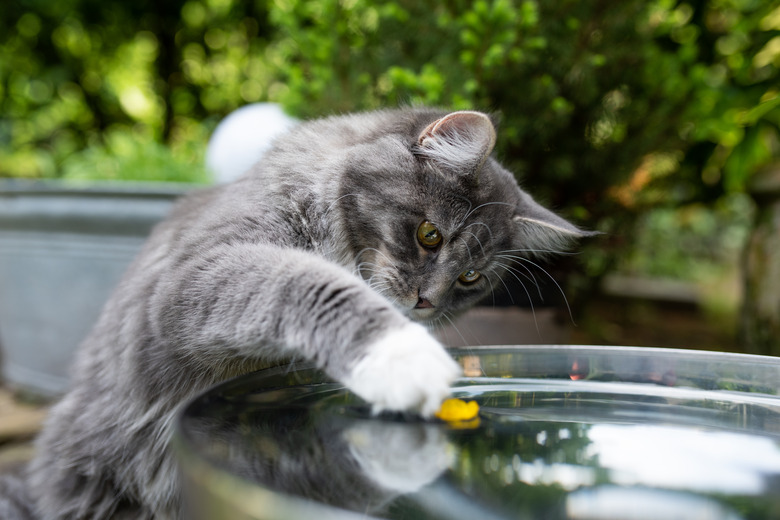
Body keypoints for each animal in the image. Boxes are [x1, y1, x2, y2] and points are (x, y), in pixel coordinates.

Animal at [0, 107, 588, 516]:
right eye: (429, 234)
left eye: (470, 279)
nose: (427, 303)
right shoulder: (199, 273)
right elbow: (305, 282)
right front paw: (401, 357)